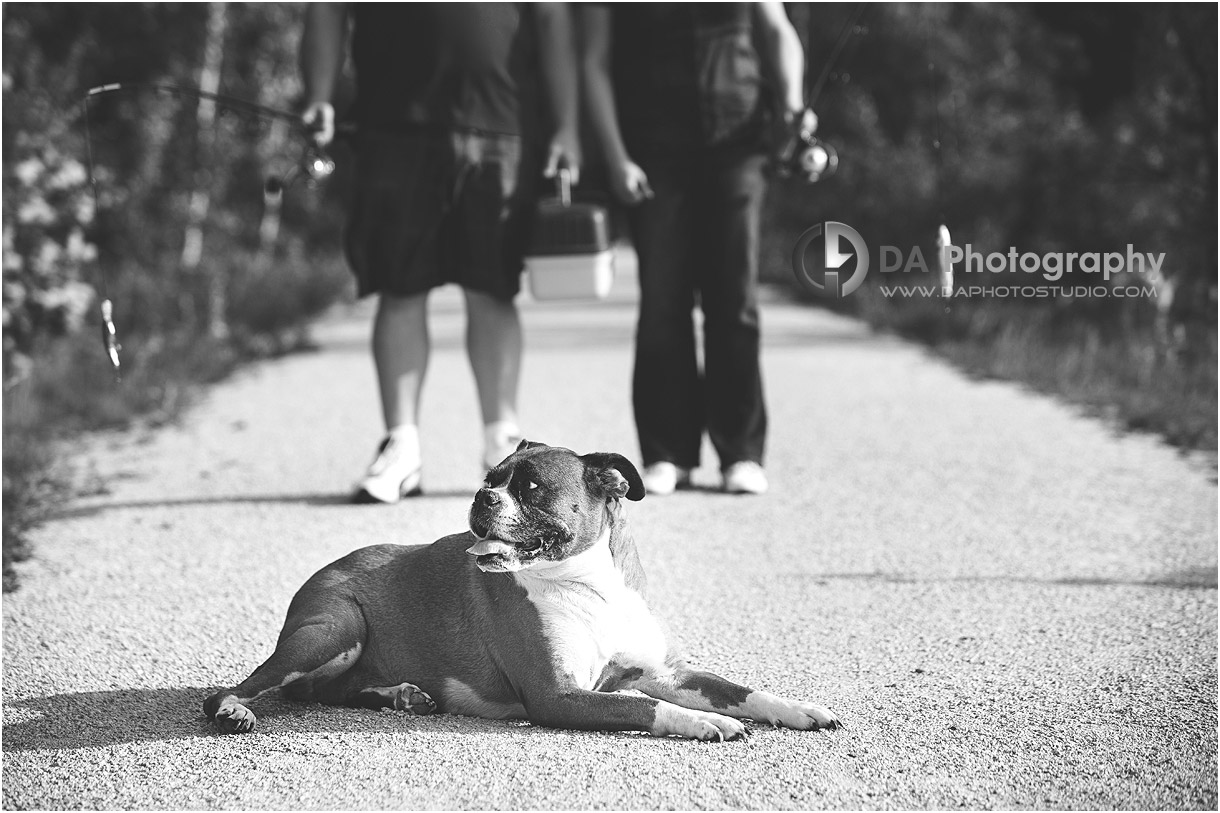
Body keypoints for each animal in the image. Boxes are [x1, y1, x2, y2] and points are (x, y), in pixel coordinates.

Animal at [204, 439, 844, 737]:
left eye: (531, 487)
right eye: (490, 479)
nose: (481, 496)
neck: (587, 584)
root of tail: (329, 567)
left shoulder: (665, 671)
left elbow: (740, 690)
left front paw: (799, 709)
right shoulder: (558, 696)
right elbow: (648, 708)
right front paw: (702, 723)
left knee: (320, 691)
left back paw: (400, 696)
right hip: (336, 627)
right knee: (252, 688)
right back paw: (234, 711)